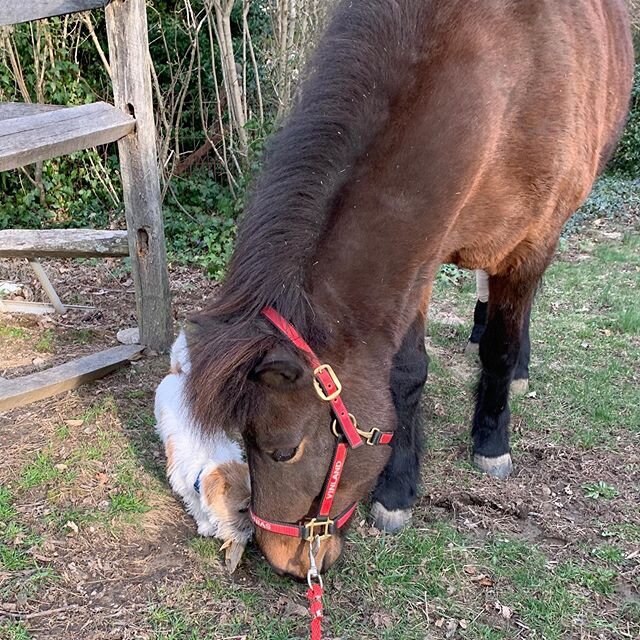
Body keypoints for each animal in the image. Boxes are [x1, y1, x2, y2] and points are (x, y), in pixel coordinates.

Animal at [155, 330, 252, 568]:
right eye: (241, 509)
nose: (250, 537)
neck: (210, 459)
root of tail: (180, 372)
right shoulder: (185, 486)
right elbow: (196, 505)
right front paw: (206, 526)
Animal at [186, 0, 636, 580]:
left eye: (284, 451)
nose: (285, 561)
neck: (501, 81)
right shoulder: (416, 266)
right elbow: (404, 375)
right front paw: (397, 489)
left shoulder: (530, 245)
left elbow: (501, 345)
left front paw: (492, 439)